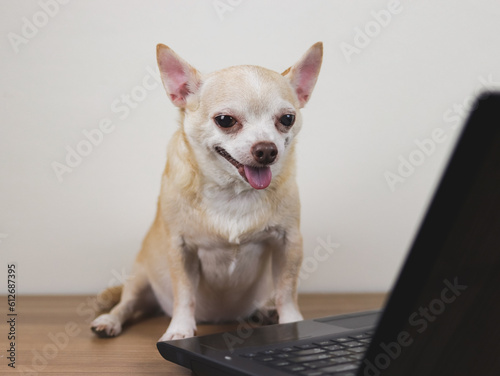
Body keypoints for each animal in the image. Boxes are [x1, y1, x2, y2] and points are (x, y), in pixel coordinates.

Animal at [90, 41, 322, 340]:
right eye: (225, 120)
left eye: (287, 118)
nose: (267, 149)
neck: (233, 191)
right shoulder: (180, 250)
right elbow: (184, 294)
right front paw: (180, 330)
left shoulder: (289, 243)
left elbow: (286, 290)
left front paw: (291, 323)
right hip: (140, 278)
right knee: (127, 304)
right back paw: (109, 320)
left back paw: (264, 311)